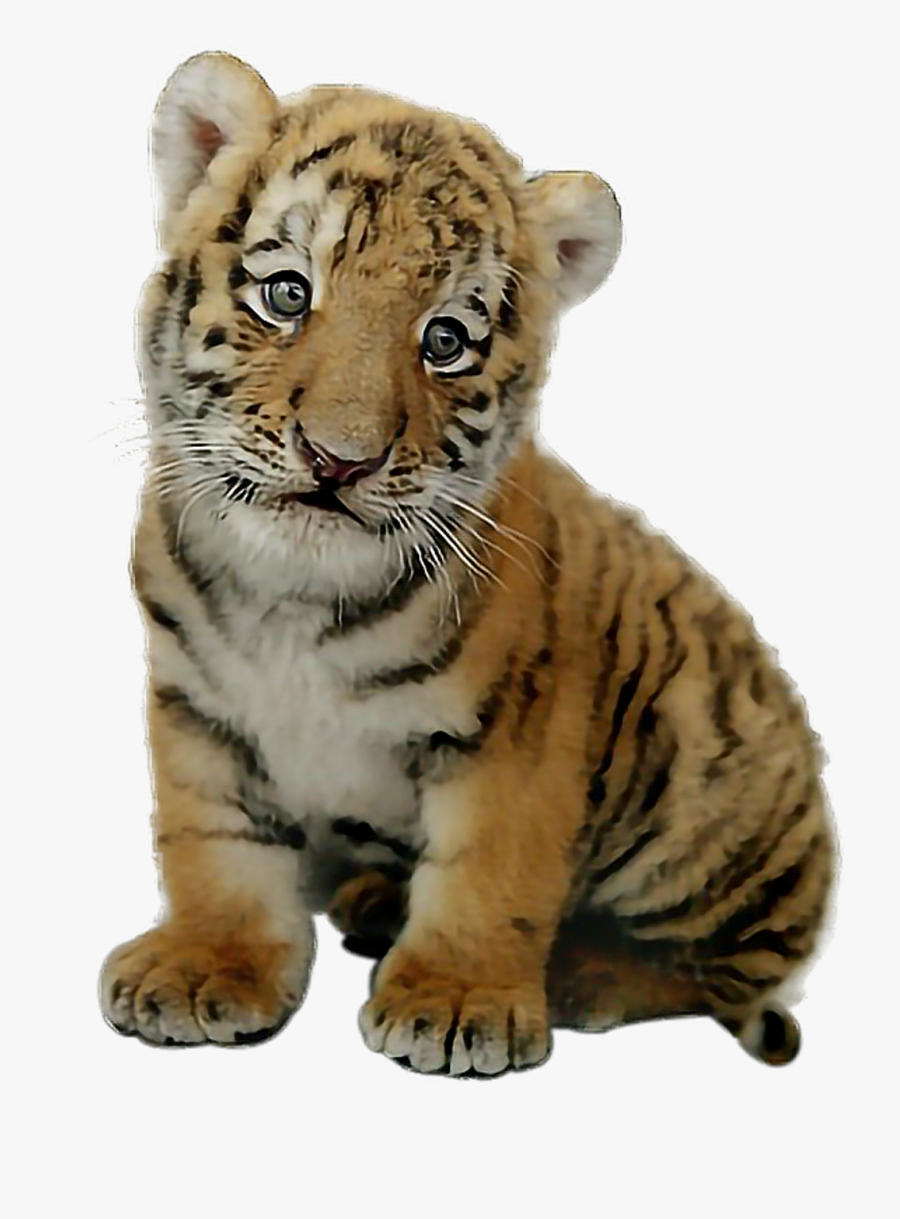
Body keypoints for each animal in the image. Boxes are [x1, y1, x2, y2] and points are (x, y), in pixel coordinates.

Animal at [99, 51, 835, 1074]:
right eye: (287, 294)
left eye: (444, 342)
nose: (339, 460)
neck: (297, 603)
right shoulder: (197, 705)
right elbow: (214, 841)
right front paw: (207, 962)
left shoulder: (520, 724)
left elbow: (490, 866)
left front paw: (455, 1000)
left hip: (705, 778)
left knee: (722, 969)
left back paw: (583, 974)